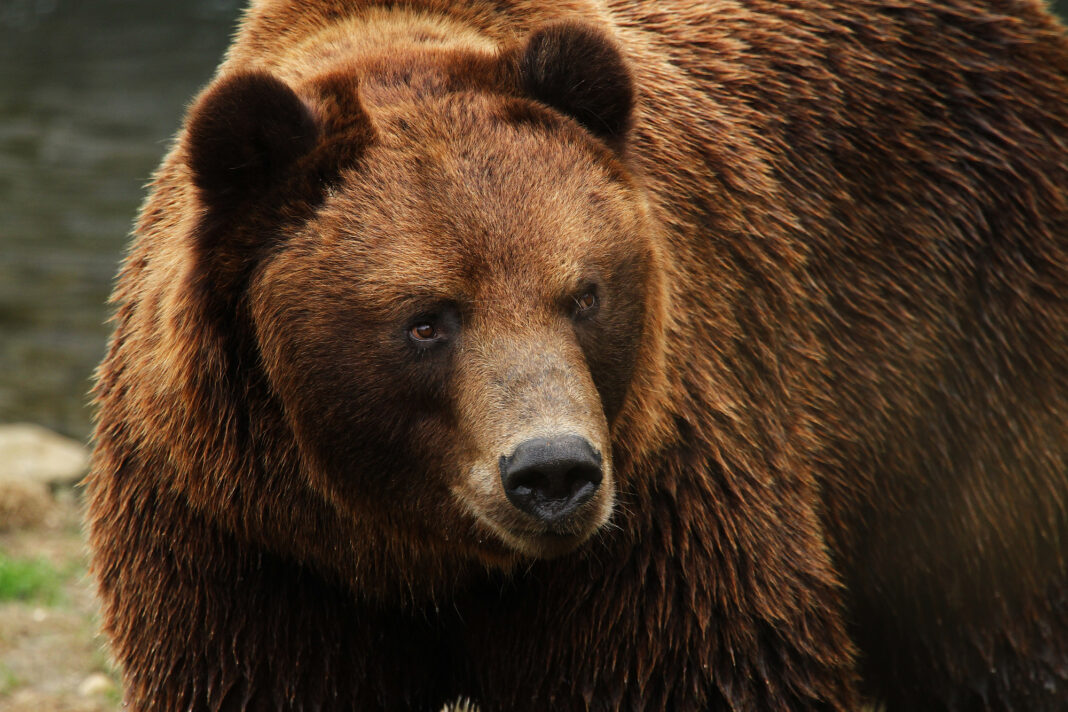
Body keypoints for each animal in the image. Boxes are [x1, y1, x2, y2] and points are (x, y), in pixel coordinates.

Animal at [87, 0, 1068, 708]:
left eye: (584, 293)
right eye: (427, 319)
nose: (552, 471)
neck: (419, 551)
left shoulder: (657, 515)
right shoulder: (250, 547)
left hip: (971, 319)